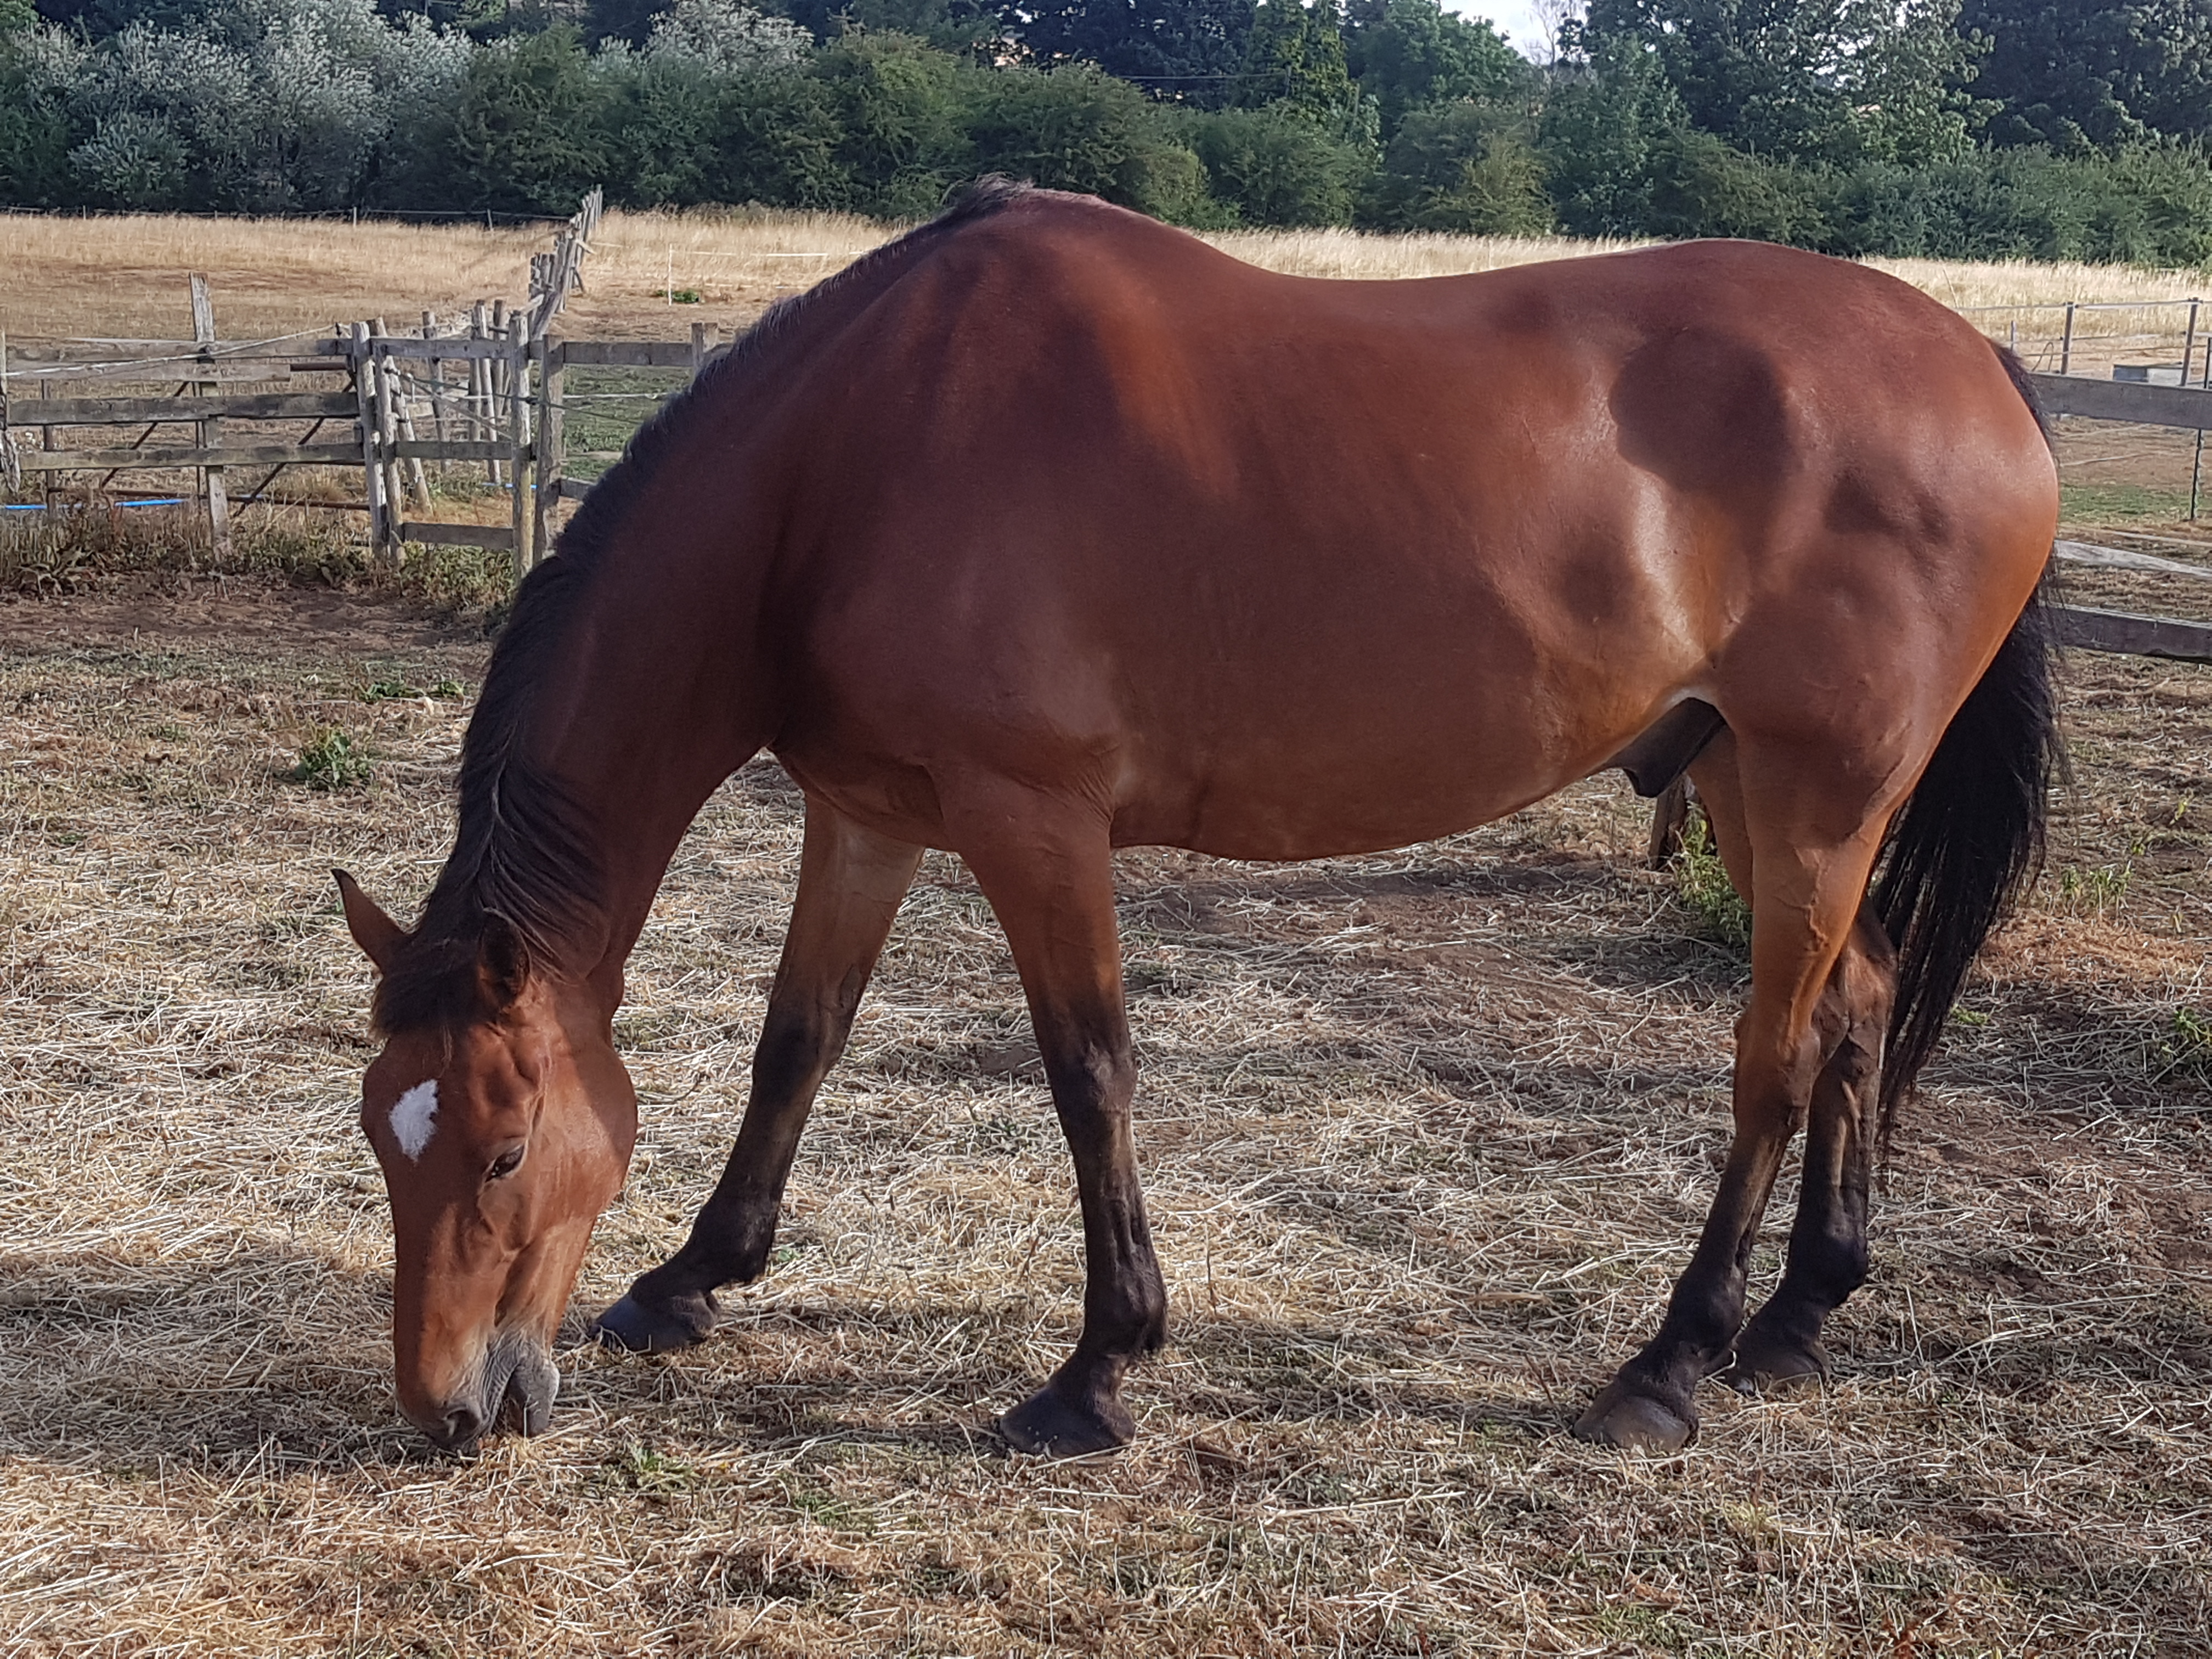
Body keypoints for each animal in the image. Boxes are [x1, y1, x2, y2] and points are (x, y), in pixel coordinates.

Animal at [336, 176, 2061, 1460]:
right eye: (378, 1132)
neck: (854, 458)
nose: (448, 1409)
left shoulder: (1035, 824)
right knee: (1859, 1005)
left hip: (1816, 798)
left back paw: (1671, 1366)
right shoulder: (867, 816)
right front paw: (695, 1280)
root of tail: (1979, 364)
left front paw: (1099, 1369)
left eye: (500, 1151)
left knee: (1776, 1056)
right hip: (1737, 779)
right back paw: (1800, 1317)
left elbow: (1088, 1073)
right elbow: (798, 1040)